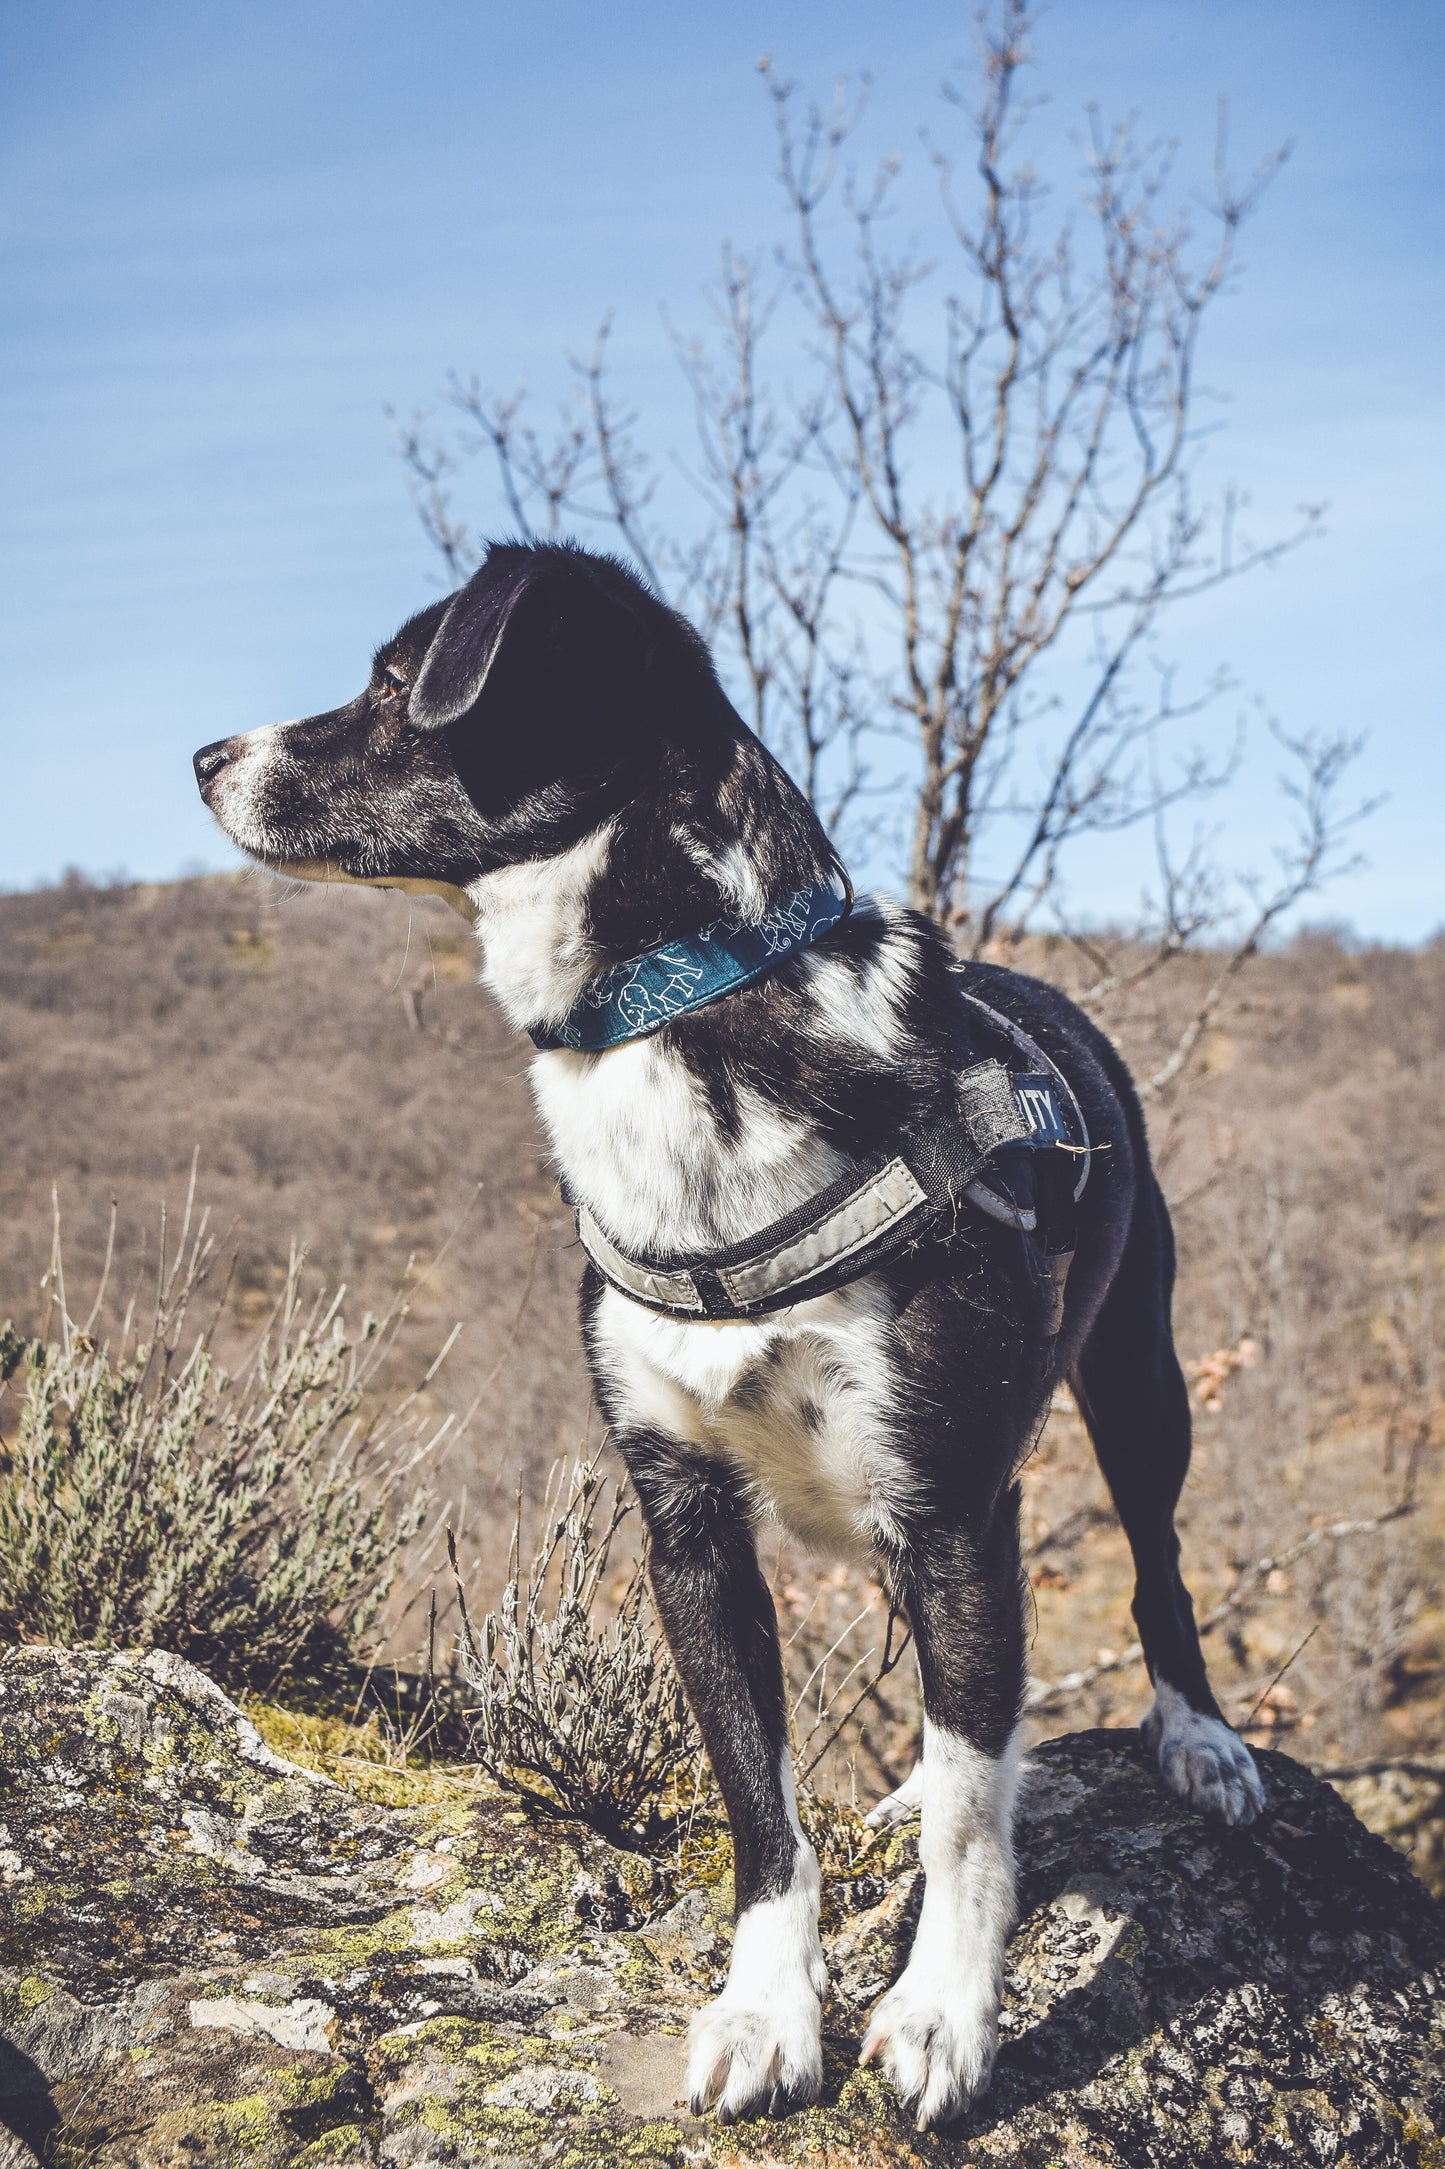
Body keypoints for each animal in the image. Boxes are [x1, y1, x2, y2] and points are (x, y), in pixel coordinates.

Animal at [194, 542, 1258, 2134]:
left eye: (398, 680)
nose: (206, 757)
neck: (682, 1011)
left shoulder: (951, 1500)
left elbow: (968, 1815)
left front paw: (941, 2016)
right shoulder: (686, 1521)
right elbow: (763, 1802)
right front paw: (765, 2014)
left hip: (1136, 1374)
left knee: (1148, 1568)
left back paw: (1193, 1736)